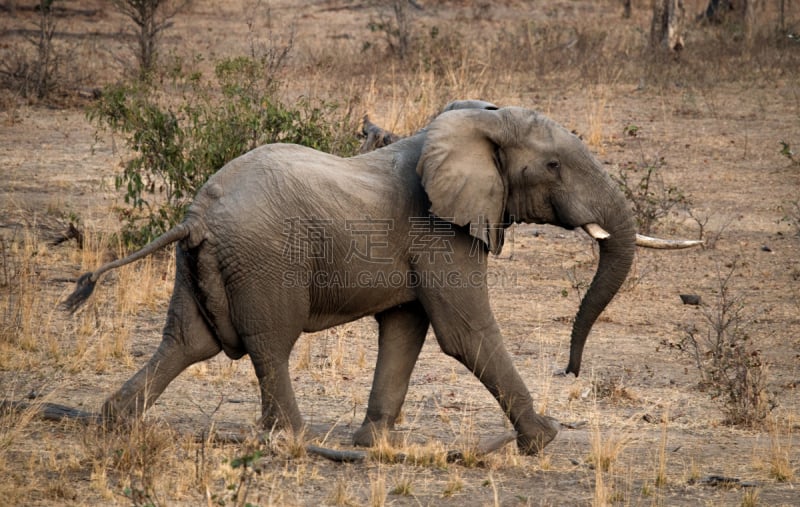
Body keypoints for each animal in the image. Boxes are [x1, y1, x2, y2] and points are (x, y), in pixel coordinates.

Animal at [62, 100, 700, 456]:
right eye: (552, 165)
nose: (569, 371)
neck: (473, 124)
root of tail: (195, 216)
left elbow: (405, 330)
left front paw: (375, 446)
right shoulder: (439, 229)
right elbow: (465, 333)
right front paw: (544, 440)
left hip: (205, 266)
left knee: (185, 342)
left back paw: (114, 422)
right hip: (265, 260)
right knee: (269, 344)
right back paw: (293, 441)